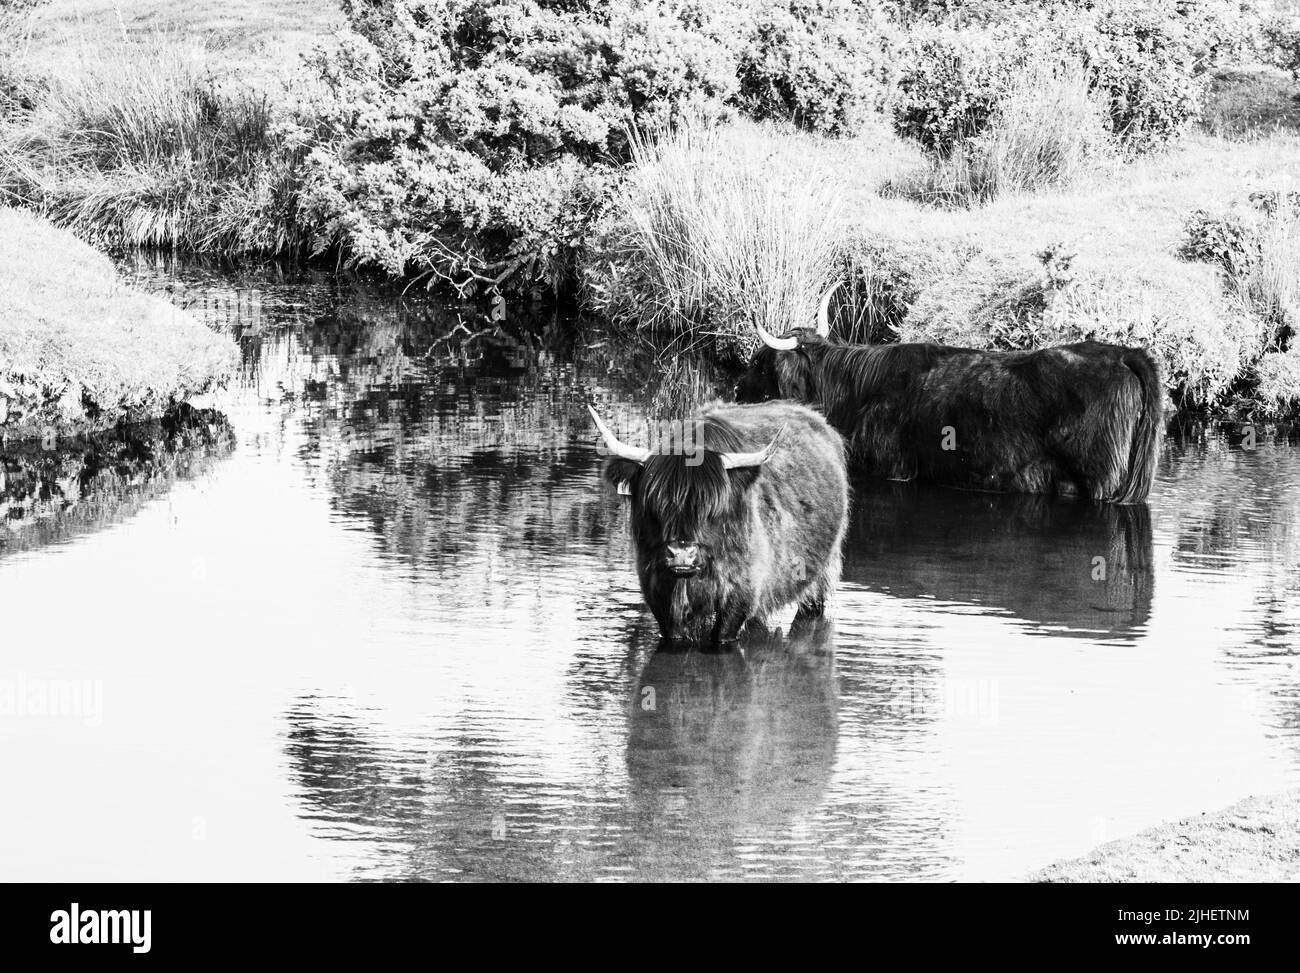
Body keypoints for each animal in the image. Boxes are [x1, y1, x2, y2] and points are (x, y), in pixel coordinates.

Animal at [592, 398, 852, 642]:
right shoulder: (657, 593)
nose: (681, 554)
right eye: (656, 503)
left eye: (710, 507)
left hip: (823, 571)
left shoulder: (741, 595)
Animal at [738, 280, 1164, 502]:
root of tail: (1124, 354)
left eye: (759, 363)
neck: (854, 393)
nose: (738, 389)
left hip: (1099, 481)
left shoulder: (892, 468)